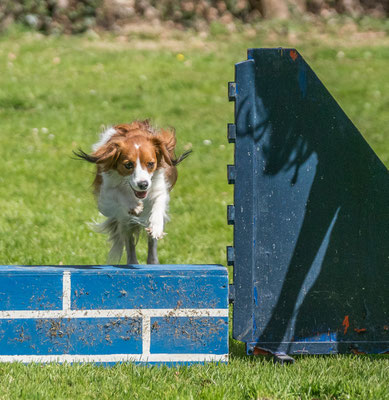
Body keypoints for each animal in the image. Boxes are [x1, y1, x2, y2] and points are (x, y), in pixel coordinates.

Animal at [73, 121, 190, 266]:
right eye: (128, 165)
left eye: (151, 163)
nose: (143, 184)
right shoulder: (106, 194)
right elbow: (118, 194)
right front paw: (134, 206)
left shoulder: (159, 187)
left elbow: (158, 203)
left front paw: (156, 226)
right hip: (124, 222)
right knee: (129, 243)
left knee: (151, 244)